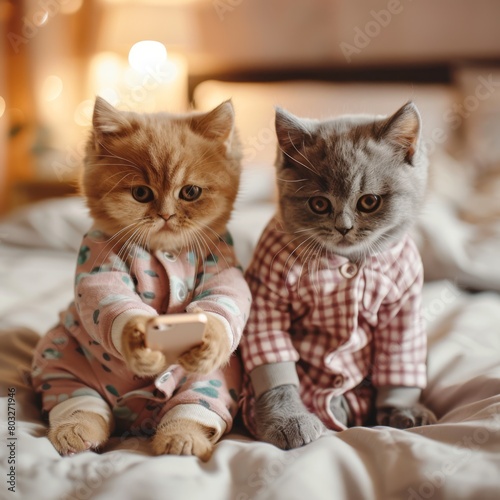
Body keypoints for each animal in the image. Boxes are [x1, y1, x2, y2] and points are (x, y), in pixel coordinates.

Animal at [242, 101, 438, 450]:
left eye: (369, 201)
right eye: (319, 204)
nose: (343, 228)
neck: (347, 260)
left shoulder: (405, 302)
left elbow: (400, 354)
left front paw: (403, 409)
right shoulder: (267, 293)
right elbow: (272, 356)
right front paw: (288, 420)